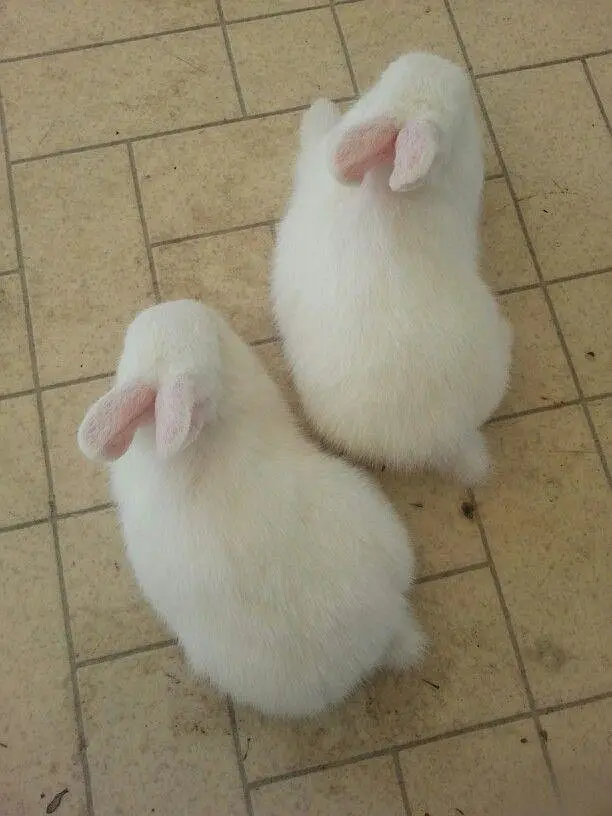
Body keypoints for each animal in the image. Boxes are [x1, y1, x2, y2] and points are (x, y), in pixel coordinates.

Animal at [272, 52, 512, 486]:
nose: (446, 64)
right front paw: (321, 106)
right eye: (384, 79)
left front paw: (319, 108)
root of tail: (450, 439)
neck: (383, 178)